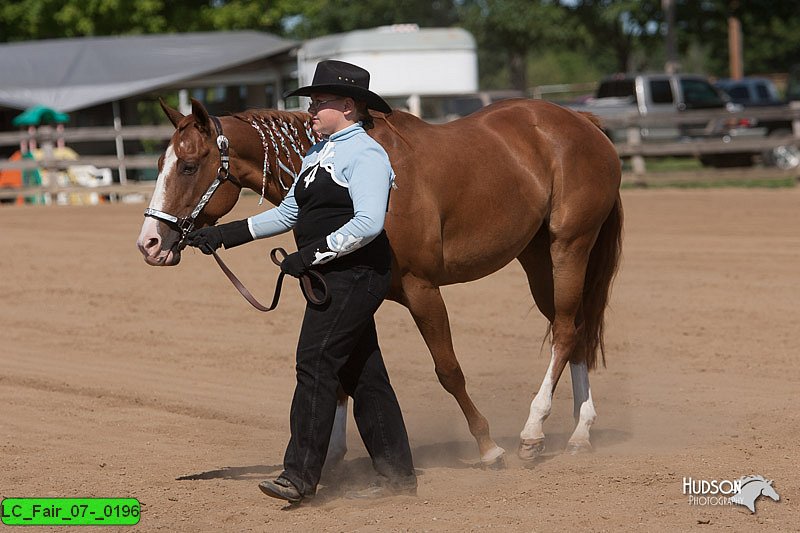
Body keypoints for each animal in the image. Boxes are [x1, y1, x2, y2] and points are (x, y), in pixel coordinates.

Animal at [138, 98, 624, 466]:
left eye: (188, 165)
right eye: (159, 162)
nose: (149, 243)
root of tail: (582, 121)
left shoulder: (422, 289)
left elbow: (448, 370)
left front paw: (487, 447)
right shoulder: (343, 293)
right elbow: (338, 372)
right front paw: (331, 456)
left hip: (568, 246)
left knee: (565, 332)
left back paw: (533, 431)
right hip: (536, 256)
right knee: (575, 330)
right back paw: (580, 433)